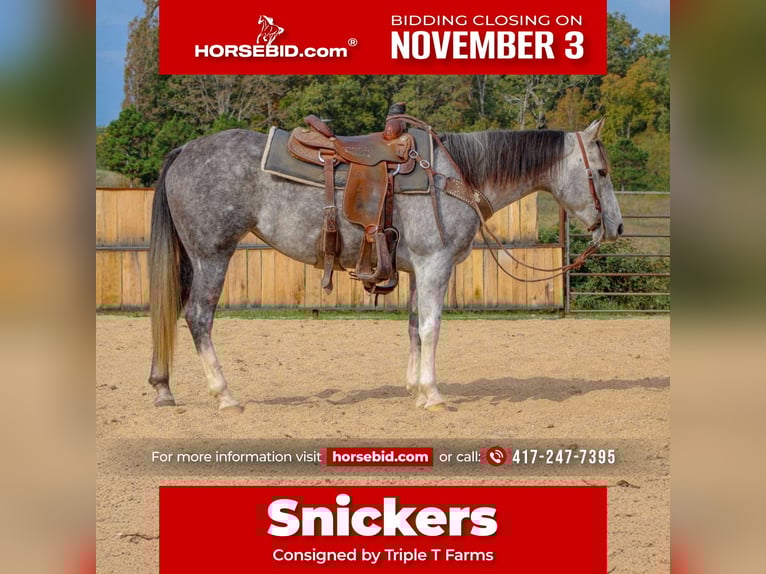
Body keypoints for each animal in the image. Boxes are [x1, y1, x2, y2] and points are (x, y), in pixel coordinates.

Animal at [147, 117, 623, 413]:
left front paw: (415, 389)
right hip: (212, 255)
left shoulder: (417, 270)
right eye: (600, 171)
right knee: (199, 317)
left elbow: (413, 326)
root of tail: (185, 149)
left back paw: (163, 387)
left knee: (171, 312)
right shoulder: (435, 265)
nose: (617, 226)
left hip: (192, 258)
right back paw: (225, 396)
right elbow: (432, 327)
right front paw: (433, 394)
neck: (456, 175)